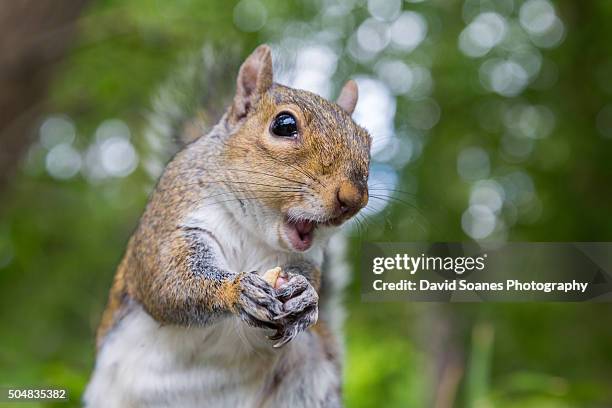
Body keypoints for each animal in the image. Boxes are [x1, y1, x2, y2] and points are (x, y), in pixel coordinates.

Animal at [83, 44, 370, 408]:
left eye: (367, 140)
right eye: (284, 124)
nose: (354, 198)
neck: (253, 229)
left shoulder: (303, 257)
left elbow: (309, 278)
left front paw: (306, 297)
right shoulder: (172, 220)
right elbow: (165, 279)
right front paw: (236, 289)